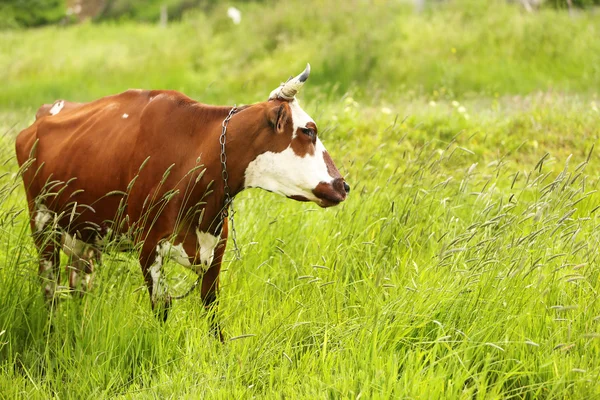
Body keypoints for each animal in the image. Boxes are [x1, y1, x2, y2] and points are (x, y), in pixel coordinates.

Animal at [14, 64, 350, 340]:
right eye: (308, 130)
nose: (343, 185)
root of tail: (43, 115)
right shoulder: (148, 247)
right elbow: (161, 309)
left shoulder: (216, 248)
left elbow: (212, 311)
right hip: (42, 224)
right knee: (50, 287)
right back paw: (52, 332)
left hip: (85, 234)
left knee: (79, 285)